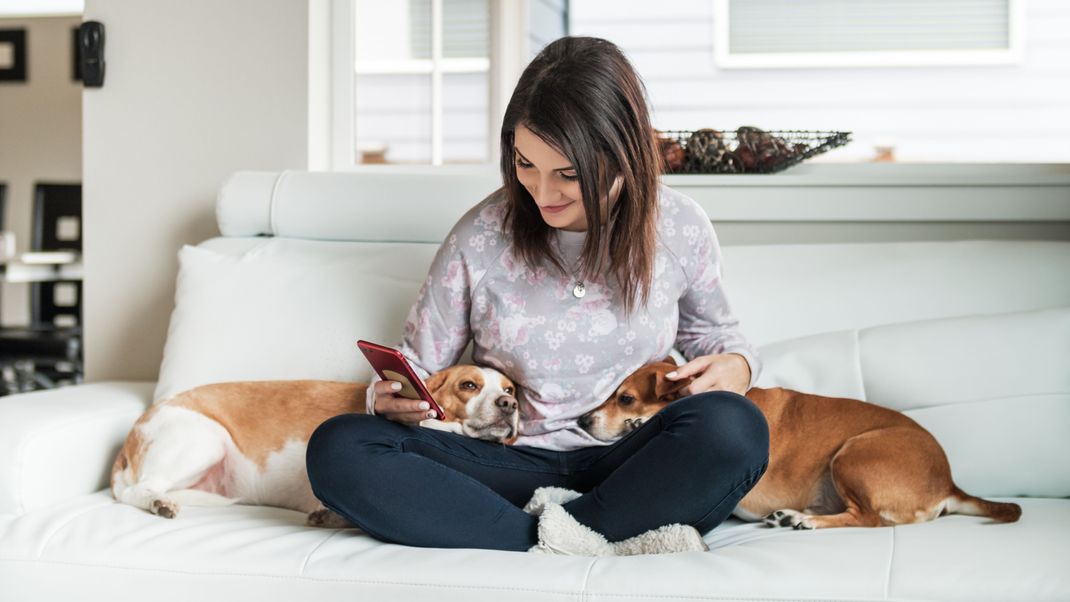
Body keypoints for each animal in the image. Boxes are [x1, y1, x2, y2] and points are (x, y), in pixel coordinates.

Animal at [110, 365, 520, 526]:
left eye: (510, 389)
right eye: (469, 385)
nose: (509, 405)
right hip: (204, 440)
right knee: (136, 491)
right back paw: (159, 503)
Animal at [577, 361, 1018, 530]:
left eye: (625, 398)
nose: (581, 420)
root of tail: (949, 483)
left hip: (854, 453)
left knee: (868, 519)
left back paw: (808, 521)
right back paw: (795, 515)